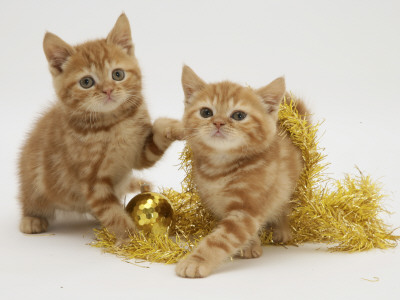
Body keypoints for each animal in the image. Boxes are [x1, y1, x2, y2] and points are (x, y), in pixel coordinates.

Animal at [18, 14, 180, 244]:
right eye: (86, 82)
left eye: (118, 74)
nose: (108, 90)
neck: (113, 124)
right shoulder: (92, 181)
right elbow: (111, 212)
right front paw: (131, 239)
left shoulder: (137, 156)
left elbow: (158, 131)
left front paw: (178, 127)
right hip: (33, 179)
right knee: (31, 199)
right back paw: (31, 219)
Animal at [173, 67, 308, 278]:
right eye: (206, 112)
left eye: (238, 115)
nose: (218, 123)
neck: (220, 169)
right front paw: (250, 245)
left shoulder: (247, 207)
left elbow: (220, 239)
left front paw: (196, 261)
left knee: (285, 207)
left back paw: (282, 230)